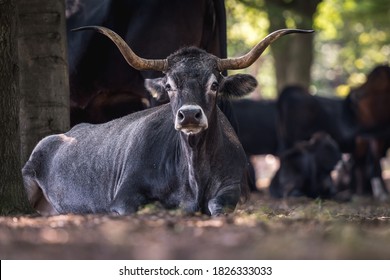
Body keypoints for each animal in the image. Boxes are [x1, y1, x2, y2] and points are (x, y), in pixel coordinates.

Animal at [22, 25, 314, 215]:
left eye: (215, 84)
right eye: (170, 85)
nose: (190, 115)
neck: (195, 172)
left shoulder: (233, 189)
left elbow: (219, 206)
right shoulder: (124, 196)